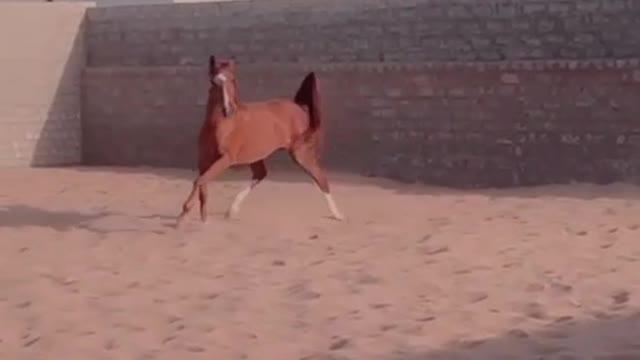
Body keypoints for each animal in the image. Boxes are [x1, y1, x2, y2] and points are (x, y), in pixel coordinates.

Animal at [175, 55, 344, 226]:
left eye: (232, 79)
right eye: (214, 82)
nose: (228, 109)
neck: (219, 124)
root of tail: (300, 107)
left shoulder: (226, 159)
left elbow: (199, 181)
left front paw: (182, 215)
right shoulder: (203, 159)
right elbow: (202, 184)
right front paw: (202, 217)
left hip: (300, 155)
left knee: (321, 178)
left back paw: (338, 215)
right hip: (256, 156)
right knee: (261, 174)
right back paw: (232, 210)